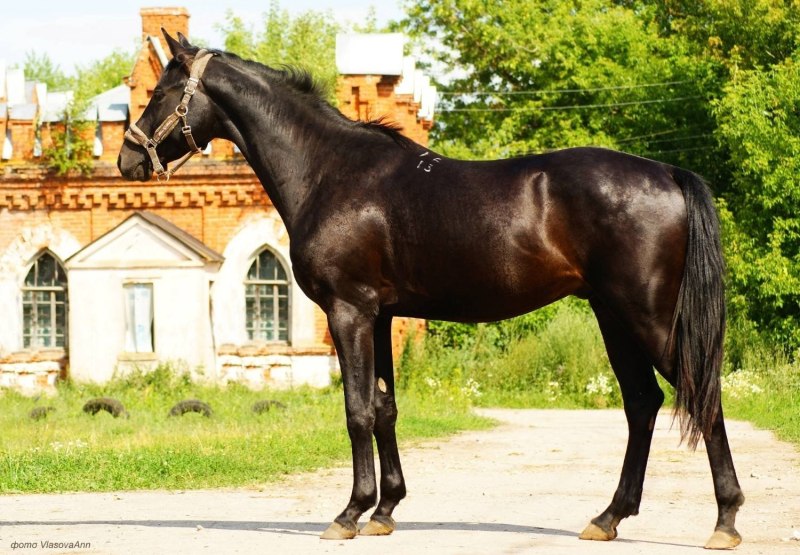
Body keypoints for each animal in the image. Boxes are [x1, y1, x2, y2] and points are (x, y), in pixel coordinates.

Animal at [118, 31, 743, 549]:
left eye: (162, 91)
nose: (127, 158)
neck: (330, 170)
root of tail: (667, 173)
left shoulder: (348, 311)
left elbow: (356, 411)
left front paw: (349, 513)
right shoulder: (379, 315)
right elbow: (384, 407)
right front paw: (385, 510)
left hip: (647, 317)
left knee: (702, 395)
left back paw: (725, 521)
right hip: (614, 317)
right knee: (643, 404)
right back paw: (608, 517)